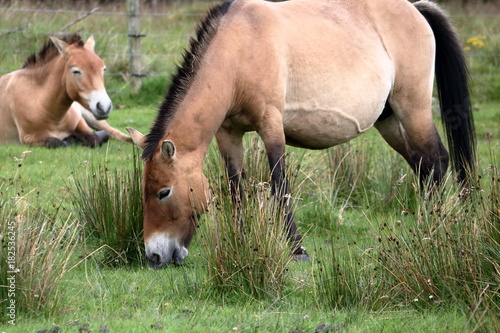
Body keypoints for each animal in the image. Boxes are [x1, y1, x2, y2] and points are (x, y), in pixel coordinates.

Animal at [127, 0, 474, 268]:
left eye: (164, 192)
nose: (154, 256)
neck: (240, 46)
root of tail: (415, 9)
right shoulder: (229, 132)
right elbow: (235, 187)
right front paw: (240, 241)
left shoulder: (270, 123)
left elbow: (280, 185)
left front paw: (297, 249)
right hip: (390, 122)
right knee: (424, 164)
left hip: (413, 111)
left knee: (436, 160)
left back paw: (432, 227)